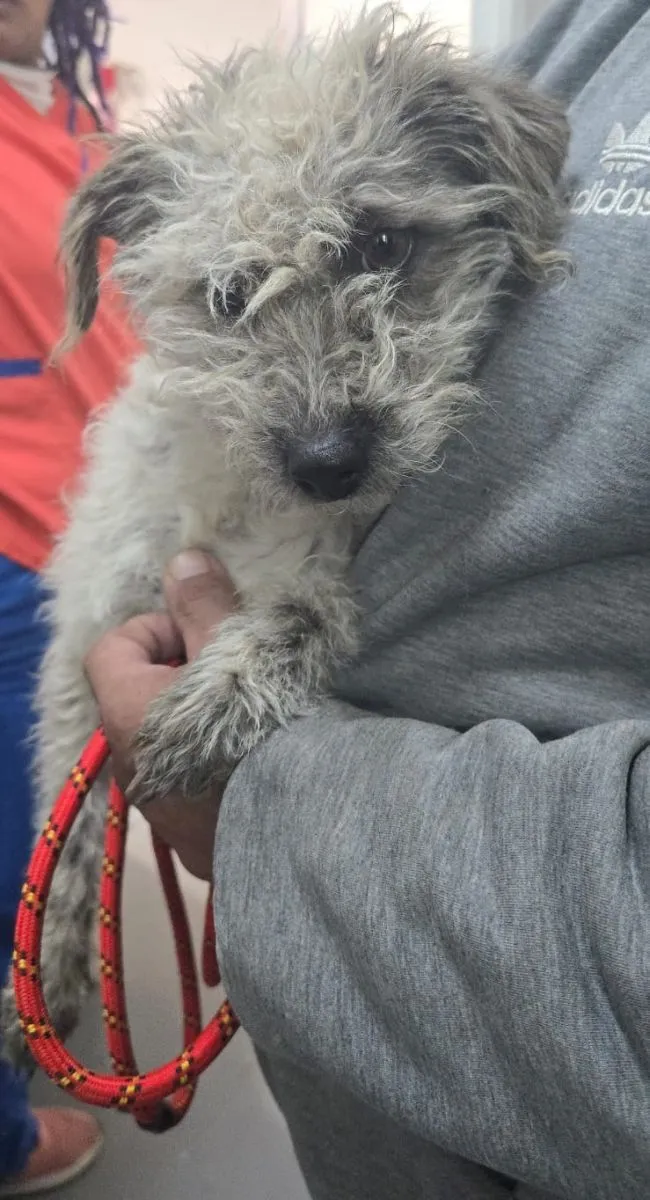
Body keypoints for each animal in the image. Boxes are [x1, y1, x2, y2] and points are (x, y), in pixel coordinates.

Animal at [2, 5, 570, 1065]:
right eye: (228, 294)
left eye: (383, 242)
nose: (328, 461)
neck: (243, 504)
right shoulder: (89, 626)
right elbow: (70, 803)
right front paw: (48, 964)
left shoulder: (324, 571)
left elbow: (301, 619)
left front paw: (213, 703)